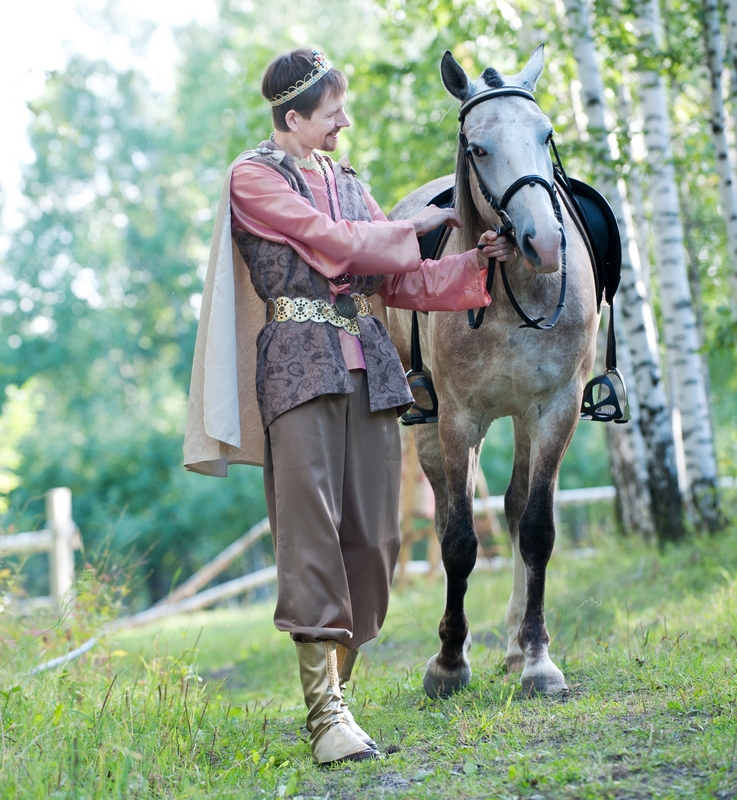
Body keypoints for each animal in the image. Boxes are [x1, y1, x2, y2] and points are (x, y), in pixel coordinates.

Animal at [387, 45, 599, 698]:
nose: (544, 243)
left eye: (546, 135)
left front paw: (537, 660)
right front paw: (448, 663)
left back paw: (513, 646)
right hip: (433, 428)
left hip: (525, 421)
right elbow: (458, 541)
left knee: (512, 508)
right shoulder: (460, 419)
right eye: (478, 148)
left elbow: (536, 529)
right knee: (446, 519)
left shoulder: (555, 409)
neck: (512, 293)